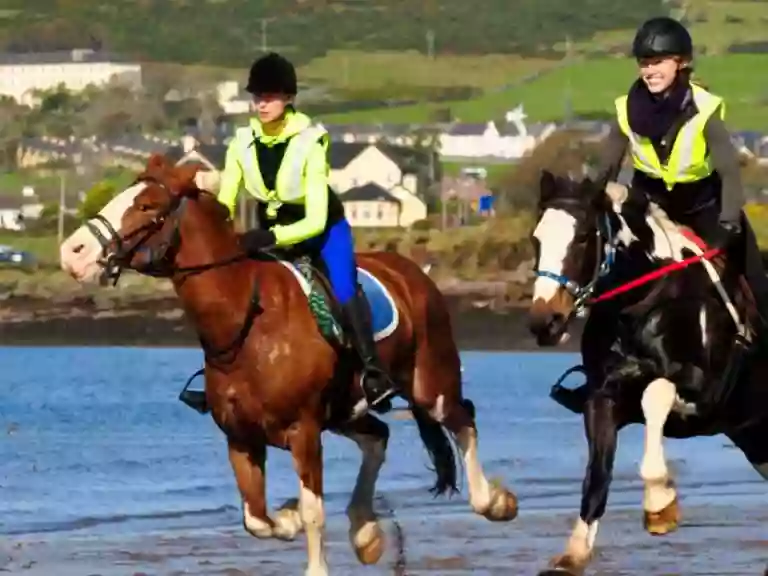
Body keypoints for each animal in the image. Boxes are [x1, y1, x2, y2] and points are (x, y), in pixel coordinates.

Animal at [60, 154, 516, 576]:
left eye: (147, 205)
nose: (71, 253)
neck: (246, 322)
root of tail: (411, 272)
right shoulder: (241, 438)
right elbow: (256, 518)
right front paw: (290, 516)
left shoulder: (304, 431)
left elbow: (313, 512)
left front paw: (308, 543)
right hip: (346, 410)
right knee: (378, 437)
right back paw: (365, 532)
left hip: (429, 384)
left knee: (461, 420)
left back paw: (495, 501)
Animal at [528, 171, 768, 576]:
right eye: (537, 238)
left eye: (582, 237)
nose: (545, 323)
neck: (639, 307)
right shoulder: (602, 399)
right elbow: (597, 476)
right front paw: (572, 554)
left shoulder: (703, 392)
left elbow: (655, 393)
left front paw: (660, 508)